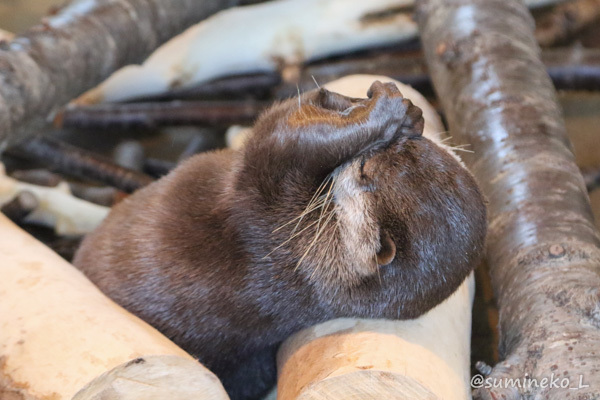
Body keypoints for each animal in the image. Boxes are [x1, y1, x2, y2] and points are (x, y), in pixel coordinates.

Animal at [75, 79, 488, 398]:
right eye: (415, 148)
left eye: (366, 171)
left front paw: (382, 112)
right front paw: (390, 108)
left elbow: (282, 132)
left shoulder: (272, 199)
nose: (405, 136)